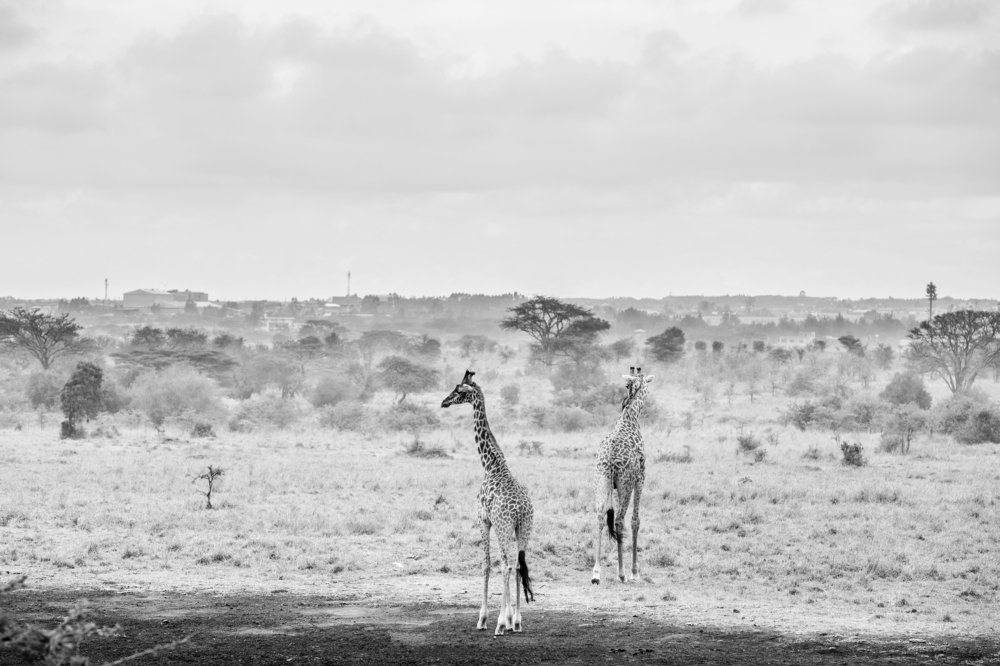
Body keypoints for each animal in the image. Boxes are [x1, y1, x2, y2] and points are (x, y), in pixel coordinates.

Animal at [441, 370, 535, 636]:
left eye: (459, 390)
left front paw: (484, 619)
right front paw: (511, 619)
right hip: (524, 527)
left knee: (507, 565)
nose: (444, 402)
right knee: (518, 564)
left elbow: (485, 565)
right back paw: (518, 621)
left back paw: (500, 624)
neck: (491, 465)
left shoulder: (483, 520)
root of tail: (521, 509)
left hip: (504, 527)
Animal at [591, 366, 655, 585]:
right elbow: (636, 521)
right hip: (626, 483)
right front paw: (635, 571)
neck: (631, 418)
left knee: (600, 516)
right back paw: (622, 573)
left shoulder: (616, 485)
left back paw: (596, 573)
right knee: (619, 520)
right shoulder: (640, 478)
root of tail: (610, 459)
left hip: (602, 479)